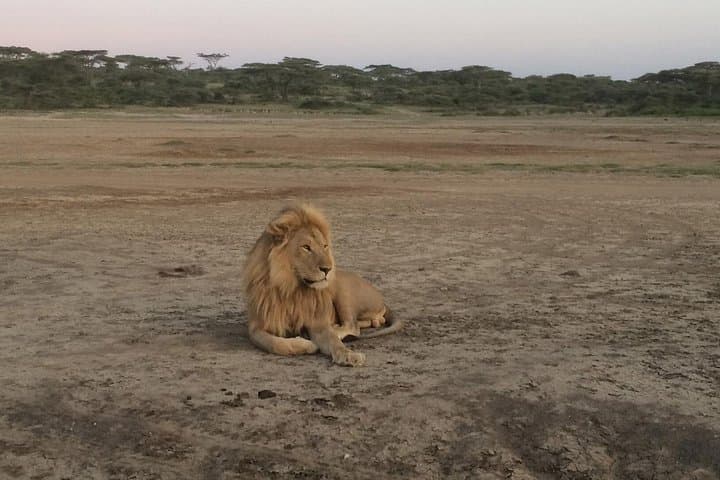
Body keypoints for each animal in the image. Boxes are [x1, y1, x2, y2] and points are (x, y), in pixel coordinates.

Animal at [242, 204, 401, 366]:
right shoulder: (256, 327)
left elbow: (333, 342)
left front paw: (349, 355)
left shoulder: (317, 323)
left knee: (353, 326)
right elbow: (274, 343)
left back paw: (335, 330)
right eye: (306, 247)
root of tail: (382, 299)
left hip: (342, 290)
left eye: (324, 246)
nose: (327, 269)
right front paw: (307, 345)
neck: (292, 288)